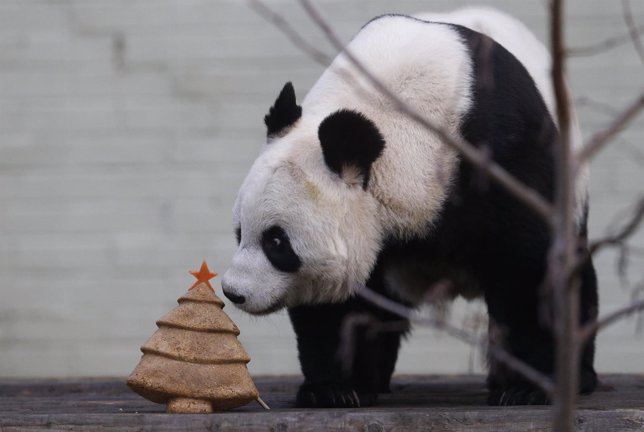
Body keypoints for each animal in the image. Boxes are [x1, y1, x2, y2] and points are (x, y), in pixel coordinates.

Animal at [223, 7, 600, 408]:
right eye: (239, 232)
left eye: (276, 242)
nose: (233, 292)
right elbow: (338, 302)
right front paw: (336, 389)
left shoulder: (503, 156)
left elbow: (527, 270)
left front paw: (527, 388)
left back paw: (577, 376)